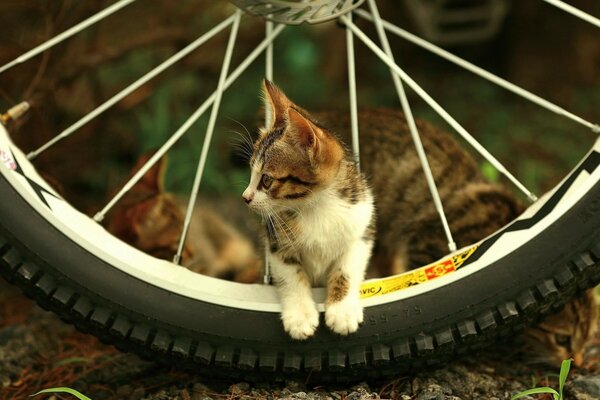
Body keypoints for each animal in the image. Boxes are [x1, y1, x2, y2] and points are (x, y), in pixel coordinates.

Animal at [241, 79, 372, 340]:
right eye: (251, 172)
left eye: (267, 180)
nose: (246, 197)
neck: (316, 207)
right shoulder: (276, 242)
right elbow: (292, 275)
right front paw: (300, 316)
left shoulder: (362, 227)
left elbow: (347, 269)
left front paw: (342, 311)